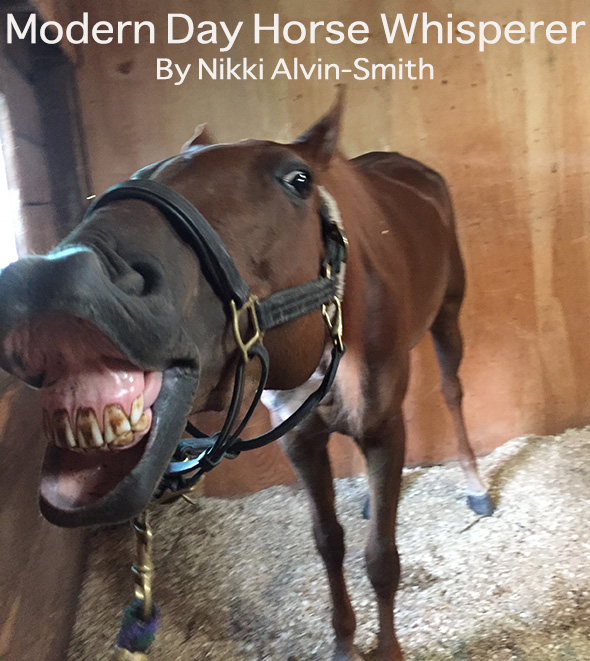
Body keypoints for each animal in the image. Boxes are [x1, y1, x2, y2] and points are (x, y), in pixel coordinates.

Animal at [0, 90, 492, 660]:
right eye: (143, 174)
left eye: (298, 180)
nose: (52, 280)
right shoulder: (301, 440)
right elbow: (329, 541)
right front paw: (344, 642)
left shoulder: (380, 429)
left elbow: (382, 559)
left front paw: (386, 649)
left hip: (447, 318)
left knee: (452, 392)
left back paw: (475, 485)